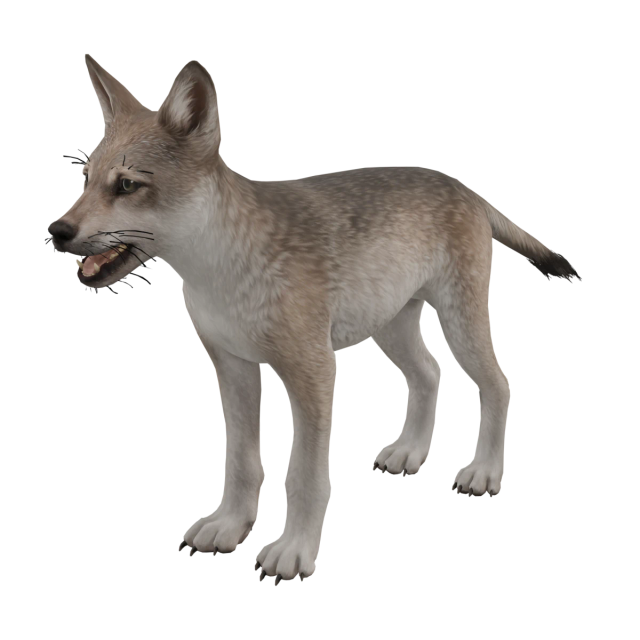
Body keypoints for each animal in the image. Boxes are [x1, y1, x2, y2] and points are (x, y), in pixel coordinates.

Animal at [48, 53, 583, 582]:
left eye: (127, 185)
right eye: (86, 179)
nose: (56, 231)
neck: (218, 267)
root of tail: (462, 185)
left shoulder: (314, 373)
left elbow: (304, 476)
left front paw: (294, 552)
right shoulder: (234, 370)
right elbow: (241, 463)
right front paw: (230, 527)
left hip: (459, 324)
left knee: (498, 383)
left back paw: (485, 471)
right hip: (391, 329)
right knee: (431, 375)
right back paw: (409, 452)